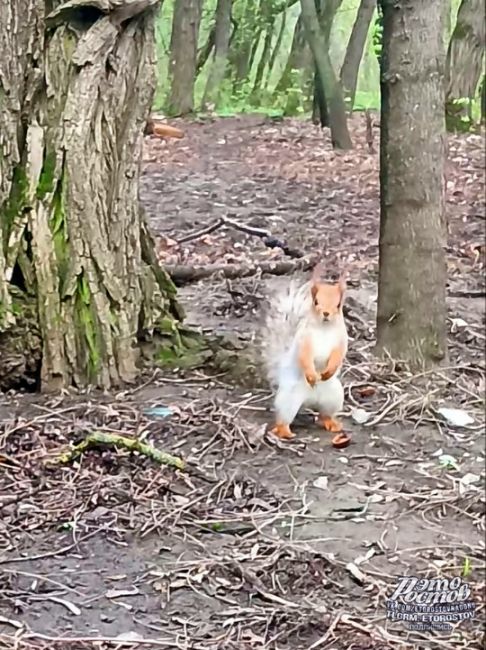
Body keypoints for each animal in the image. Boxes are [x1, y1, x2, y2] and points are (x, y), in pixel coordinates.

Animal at [262, 264, 350, 440]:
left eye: (338, 305)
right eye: (316, 301)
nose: (326, 313)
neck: (324, 328)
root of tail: (310, 400)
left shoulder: (341, 340)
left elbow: (339, 354)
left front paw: (328, 371)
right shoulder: (304, 341)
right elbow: (305, 357)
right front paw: (311, 375)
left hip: (334, 397)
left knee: (325, 414)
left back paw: (332, 423)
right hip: (288, 400)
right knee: (283, 419)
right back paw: (285, 431)